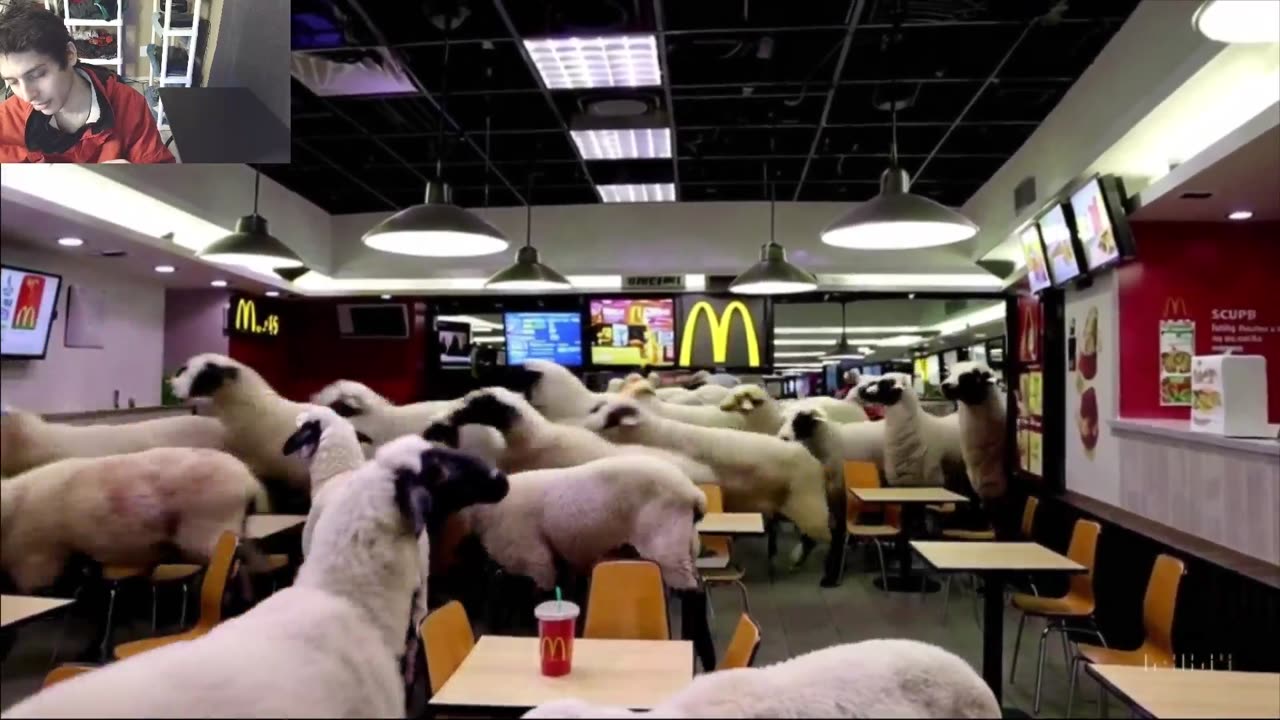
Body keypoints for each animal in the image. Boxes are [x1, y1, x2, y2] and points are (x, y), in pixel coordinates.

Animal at [0, 447, 269, 593]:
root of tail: (250, 482)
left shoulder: (36, 556)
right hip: (235, 528)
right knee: (251, 560)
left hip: (212, 526)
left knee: (234, 566)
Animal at [582, 398, 832, 550]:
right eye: (595, 408)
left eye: (612, 417)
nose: (584, 426)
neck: (655, 434)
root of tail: (810, 457)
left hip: (808, 505)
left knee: (823, 535)